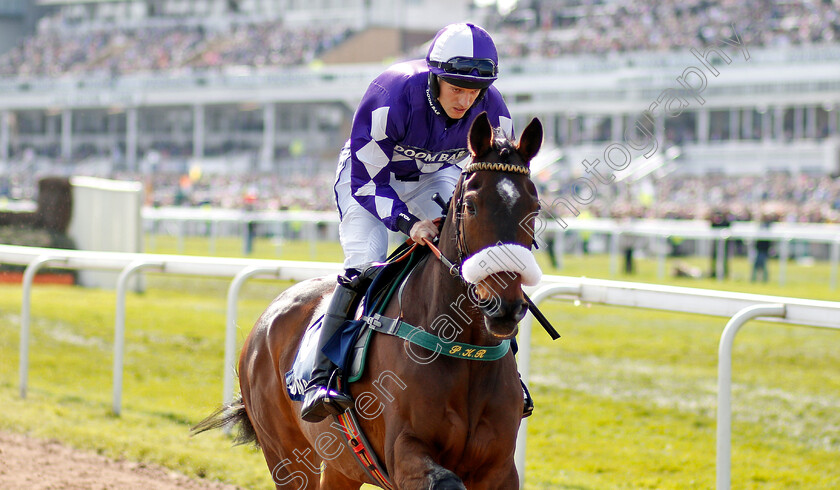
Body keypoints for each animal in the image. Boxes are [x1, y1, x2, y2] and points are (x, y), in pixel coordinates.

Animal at [194, 112, 540, 490]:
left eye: (535, 209)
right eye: (471, 206)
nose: (504, 306)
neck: (464, 349)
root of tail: (265, 320)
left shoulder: (501, 468)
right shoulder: (403, 453)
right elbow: (444, 480)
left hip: (341, 463)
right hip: (285, 455)